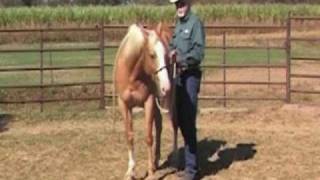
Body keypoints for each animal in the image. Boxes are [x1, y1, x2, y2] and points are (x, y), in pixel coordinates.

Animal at [113, 23, 179, 179]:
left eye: (166, 55)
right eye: (152, 55)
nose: (166, 86)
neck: (132, 76)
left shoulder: (149, 101)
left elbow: (149, 137)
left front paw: (150, 172)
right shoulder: (124, 104)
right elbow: (129, 136)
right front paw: (131, 171)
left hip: (169, 101)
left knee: (174, 123)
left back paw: (175, 158)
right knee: (159, 126)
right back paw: (156, 160)